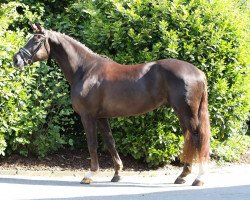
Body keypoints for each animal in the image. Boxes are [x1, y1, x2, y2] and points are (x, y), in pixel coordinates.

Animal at [12, 24, 210, 186]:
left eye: (36, 40)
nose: (16, 60)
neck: (85, 70)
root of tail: (199, 72)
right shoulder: (101, 117)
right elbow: (110, 142)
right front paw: (117, 173)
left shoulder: (88, 116)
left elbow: (92, 144)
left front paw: (89, 175)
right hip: (183, 113)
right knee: (189, 139)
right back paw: (182, 176)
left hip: (187, 112)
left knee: (196, 138)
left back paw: (199, 178)